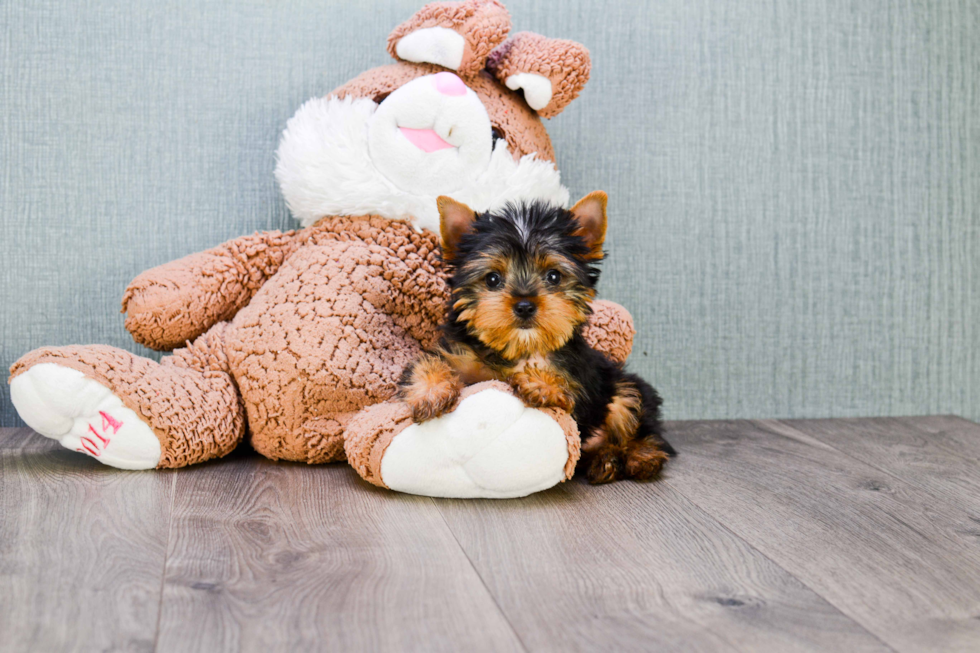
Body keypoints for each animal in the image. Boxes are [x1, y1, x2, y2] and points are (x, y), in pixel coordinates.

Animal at [398, 191, 672, 482]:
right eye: (492, 279)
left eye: (554, 276)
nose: (525, 305)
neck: (519, 346)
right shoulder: (457, 353)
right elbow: (428, 363)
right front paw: (431, 392)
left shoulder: (579, 380)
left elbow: (567, 388)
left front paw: (539, 383)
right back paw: (605, 460)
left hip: (622, 386)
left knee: (635, 417)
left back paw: (641, 457)